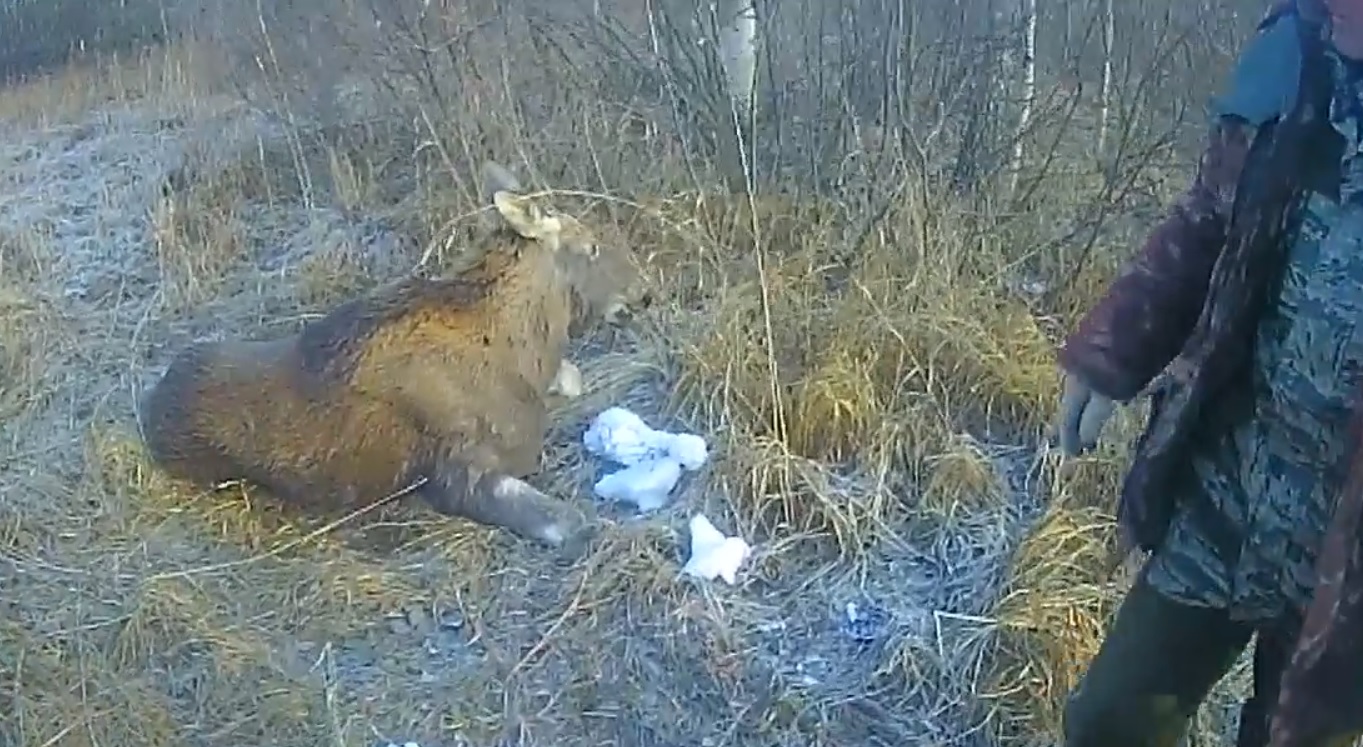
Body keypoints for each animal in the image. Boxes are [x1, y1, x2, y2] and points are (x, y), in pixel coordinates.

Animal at [141, 162, 651, 553]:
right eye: (591, 246)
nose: (643, 292)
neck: (528, 350)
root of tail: (148, 403)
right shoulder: (458, 470)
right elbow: (568, 523)